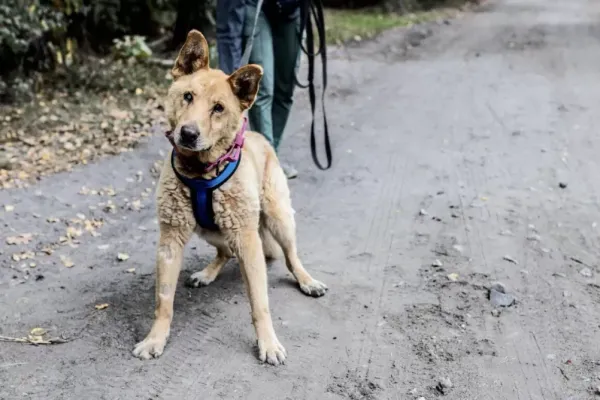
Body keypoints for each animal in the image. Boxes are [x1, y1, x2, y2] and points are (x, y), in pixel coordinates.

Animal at [132, 28, 328, 366]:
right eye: (188, 97)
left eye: (219, 108)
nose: (188, 134)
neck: (201, 173)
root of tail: (261, 138)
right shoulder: (170, 240)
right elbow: (164, 300)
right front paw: (155, 338)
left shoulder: (247, 241)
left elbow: (260, 303)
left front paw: (268, 342)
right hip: (210, 230)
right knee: (224, 252)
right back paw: (207, 273)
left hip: (278, 218)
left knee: (291, 256)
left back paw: (307, 280)